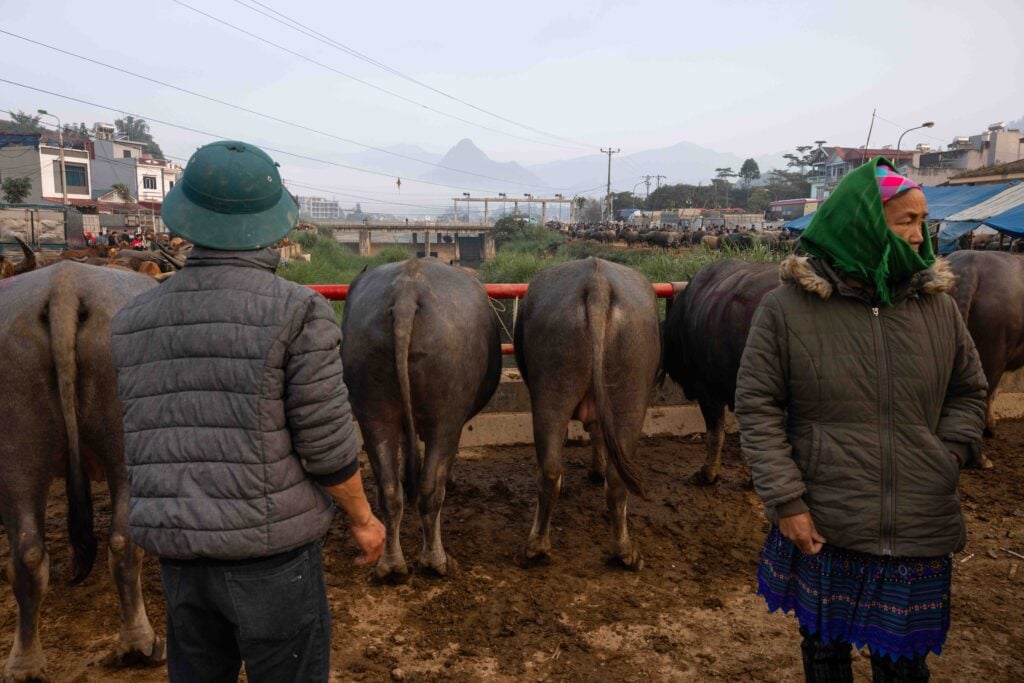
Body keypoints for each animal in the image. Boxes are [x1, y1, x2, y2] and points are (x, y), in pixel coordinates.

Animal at [342, 259, 501, 581]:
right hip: (446, 413)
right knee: (431, 487)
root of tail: (407, 291)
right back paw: (436, 561)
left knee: (389, 490)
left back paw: (391, 565)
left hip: (372, 408)